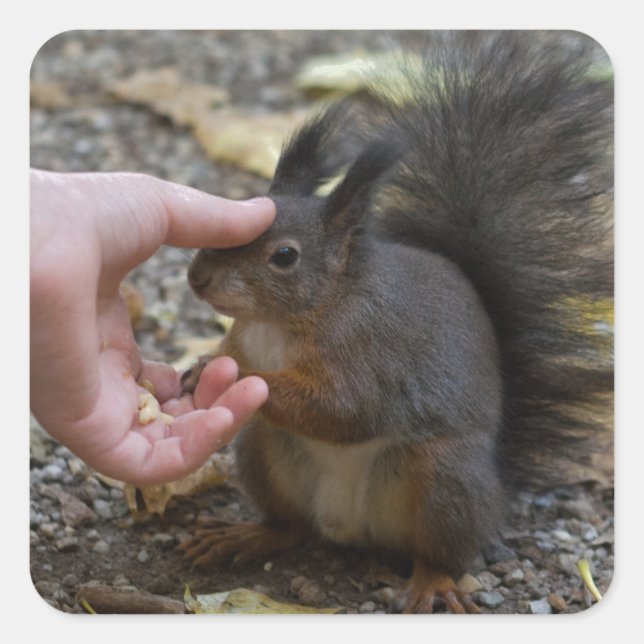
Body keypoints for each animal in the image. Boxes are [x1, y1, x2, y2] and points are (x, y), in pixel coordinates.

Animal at [179, 32, 613, 613]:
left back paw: (432, 583)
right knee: (291, 527)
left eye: (285, 256)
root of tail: (347, 529)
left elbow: (346, 410)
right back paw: (247, 536)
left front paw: (239, 379)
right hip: (263, 449)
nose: (198, 277)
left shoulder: (372, 353)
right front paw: (202, 364)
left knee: (442, 552)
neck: (285, 320)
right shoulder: (245, 336)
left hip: (444, 479)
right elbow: (238, 356)